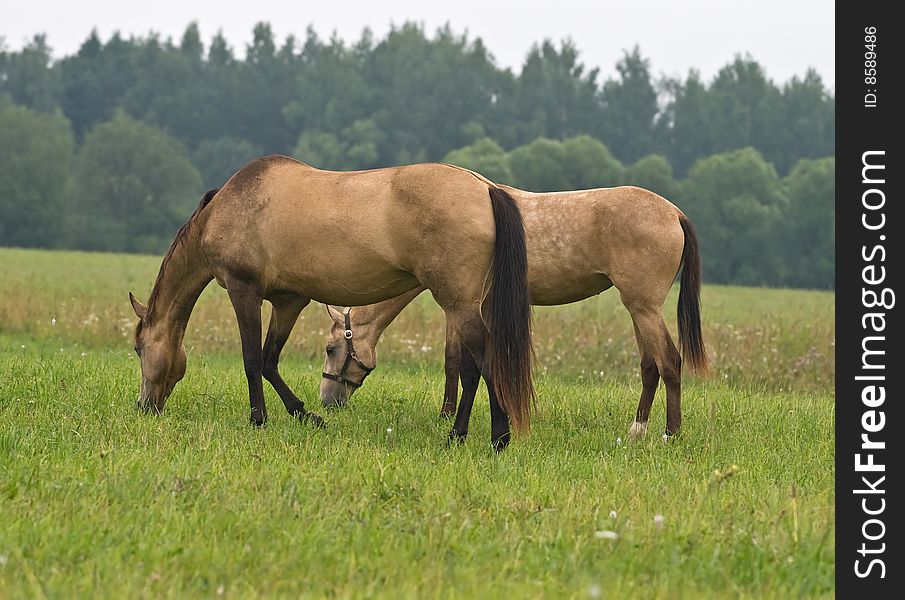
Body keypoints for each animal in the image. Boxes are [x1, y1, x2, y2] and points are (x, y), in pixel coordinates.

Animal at [318, 183, 708, 440]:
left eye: (331, 348)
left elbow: (455, 362)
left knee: (669, 362)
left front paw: (447, 416)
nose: (327, 401)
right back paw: (637, 430)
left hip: (645, 308)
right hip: (639, 309)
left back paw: (671, 433)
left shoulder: (461, 308)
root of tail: (675, 213)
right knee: (649, 367)